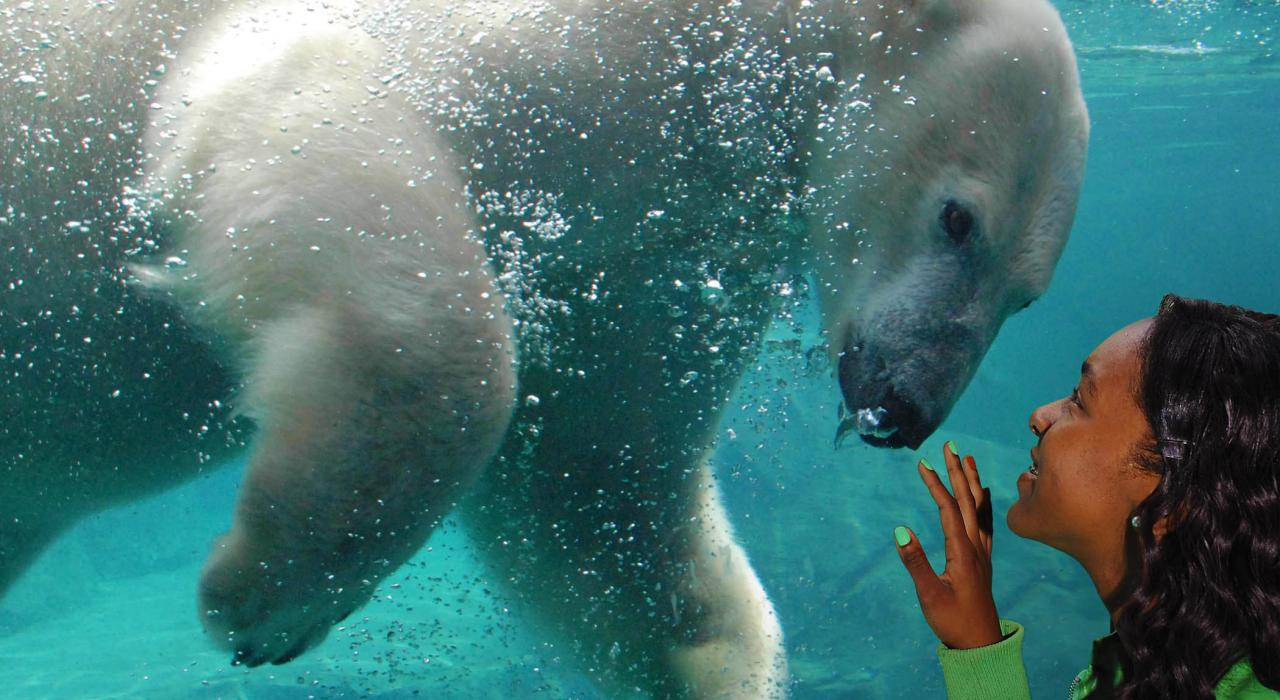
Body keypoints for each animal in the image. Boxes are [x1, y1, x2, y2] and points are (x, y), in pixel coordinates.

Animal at [0, 0, 1088, 697]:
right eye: (957, 218)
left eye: (1026, 294)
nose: (902, 408)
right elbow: (315, 123)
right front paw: (267, 602)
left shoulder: (653, 254)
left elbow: (596, 477)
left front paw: (716, 660)